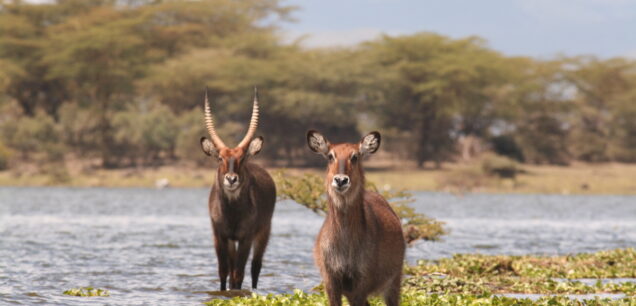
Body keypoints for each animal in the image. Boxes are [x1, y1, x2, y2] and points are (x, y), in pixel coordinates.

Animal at [201, 89, 276, 292]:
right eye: (220, 157)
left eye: (242, 158)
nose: (231, 179)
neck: (232, 212)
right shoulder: (220, 236)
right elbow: (223, 272)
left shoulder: (245, 238)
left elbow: (238, 274)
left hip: (264, 232)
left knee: (255, 267)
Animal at [306, 131, 404, 306]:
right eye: (330, 156)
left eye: (355, 156)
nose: (341, 180)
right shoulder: (331, 281)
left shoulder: (361, 282)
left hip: (394, 281)